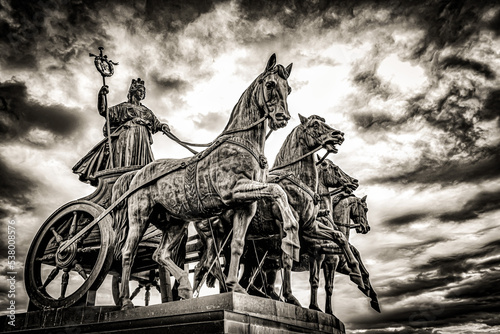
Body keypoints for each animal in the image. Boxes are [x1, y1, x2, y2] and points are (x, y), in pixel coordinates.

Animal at [112, 53, 298, 310]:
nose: (282, 117)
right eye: (270, 84)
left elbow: (237, 245)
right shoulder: (233, 191)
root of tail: (136, 174)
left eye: (288, 88)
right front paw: (291, 235)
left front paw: (234, 285)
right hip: (140, 216)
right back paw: (125, 301)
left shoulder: (246, 205)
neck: (242, 144)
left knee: (160, 254)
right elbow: (278, 189)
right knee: (128, 252)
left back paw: (184, 286)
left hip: (175, 223)